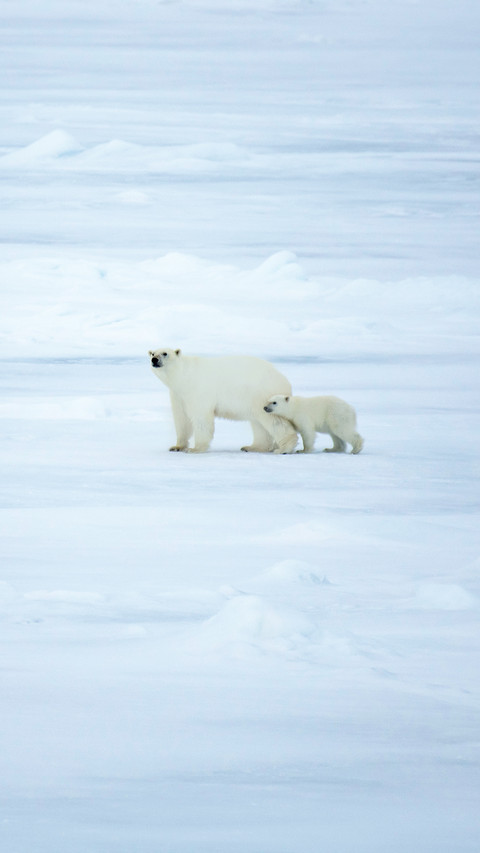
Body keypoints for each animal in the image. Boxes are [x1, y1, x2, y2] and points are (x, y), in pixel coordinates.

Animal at [149, 348, 298, 454]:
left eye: (165, 353)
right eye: (152, 353)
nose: (154, 360)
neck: (184, 376)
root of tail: (284, 380)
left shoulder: (198, 391)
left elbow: (201, 418)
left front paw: (196, 448)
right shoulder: (178, 395)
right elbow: (182, 419)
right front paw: (177, 446)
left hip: (263, 395)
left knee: (274, 420)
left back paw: (284, 448)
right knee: (258, 424)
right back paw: (252, 447)